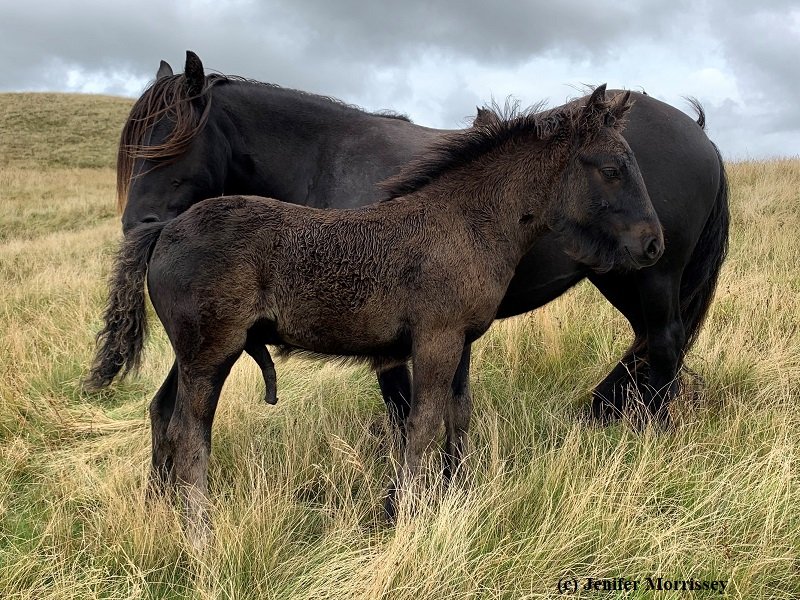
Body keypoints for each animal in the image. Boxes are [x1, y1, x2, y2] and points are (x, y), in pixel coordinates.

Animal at [114, 50, 732, 426]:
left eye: (171, 142)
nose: (137, 228)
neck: (328, 159)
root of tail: (699, 134)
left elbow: (402, 409)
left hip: (650, 275)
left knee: (664, 343)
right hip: (626, 274)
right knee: (647, 343)